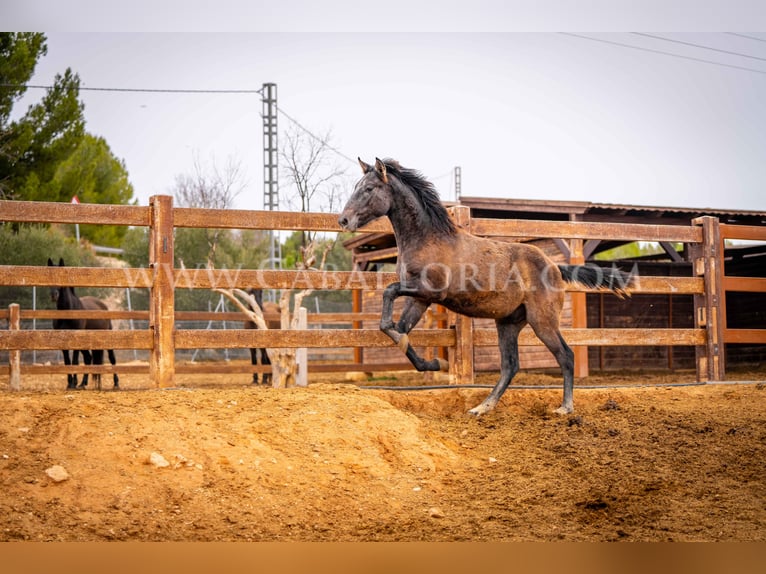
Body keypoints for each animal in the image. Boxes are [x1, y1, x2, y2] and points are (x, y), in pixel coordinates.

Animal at [48, 260, 118, 392]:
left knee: (112, 358)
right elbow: (67, 362)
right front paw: (70, 383)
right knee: (88, 358)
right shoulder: (63, 343)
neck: (69, 311)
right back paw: (82, 383)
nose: (54, 295)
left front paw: (73, 383)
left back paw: (116, 383)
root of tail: (103, 306)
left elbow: (75, 361)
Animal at [340, 160, 632, 416]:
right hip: (508, 323)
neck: (427, 240)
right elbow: (398, 330)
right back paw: (482, 407)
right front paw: (435, 362)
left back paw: (565, 407)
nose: (343, 220)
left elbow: (389, 294)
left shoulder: (429, 291)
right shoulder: (419, 298)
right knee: (510, 366)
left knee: (566, 355)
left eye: (369, 189)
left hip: (543, 321)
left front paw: (433, 360)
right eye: (356, 186)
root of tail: (555, 267)